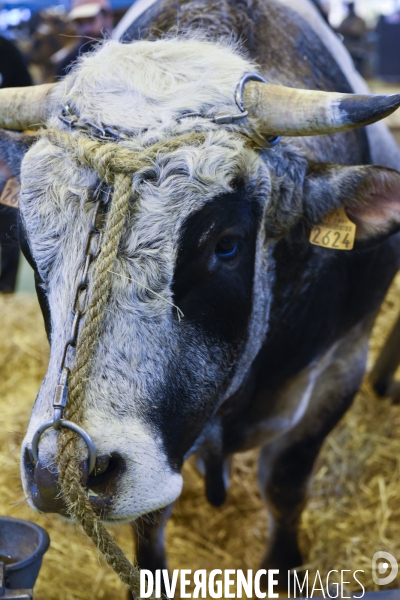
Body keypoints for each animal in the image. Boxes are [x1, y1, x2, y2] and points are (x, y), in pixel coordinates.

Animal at [0, 0, 400, 592]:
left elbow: (285, 486)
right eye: (29, 244)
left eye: (227, 245)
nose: (59, 470)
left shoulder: (341, 366)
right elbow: (150, 529)